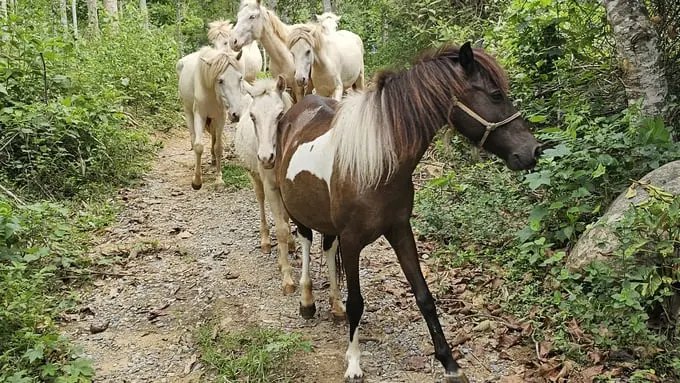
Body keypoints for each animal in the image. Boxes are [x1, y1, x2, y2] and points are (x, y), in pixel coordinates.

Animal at [177, 47, 248, 191]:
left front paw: (219, 179)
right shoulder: (200, 115)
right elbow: (198, 146)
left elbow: (218, 147)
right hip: (188, 113)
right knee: (193, 139)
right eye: (220, 80)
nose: (236, 114)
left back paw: (214, 160)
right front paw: (197, 181)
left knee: (214, 137)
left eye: (240, 78)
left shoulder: (220, 117)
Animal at [234, 76, 298, 296]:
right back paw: (266, 242)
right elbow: (280, 229)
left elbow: (286, 220)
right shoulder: (270, 185)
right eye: (253, 117)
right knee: (261, 199)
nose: (265, 157)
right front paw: (287, 278)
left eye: (280, 114)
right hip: (255, 176)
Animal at [274, 40, 540, 382]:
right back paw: (307, 302)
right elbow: (356, 302)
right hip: (298, 211)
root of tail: (296, 110)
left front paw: (449, 362)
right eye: (496, 95)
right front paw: (354, 363)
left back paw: (333, 306)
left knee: (327, 249)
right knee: (307, 243)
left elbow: (424, 296)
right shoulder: (352, 241)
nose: (533, 151)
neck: (378, 163)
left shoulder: (400, 229)